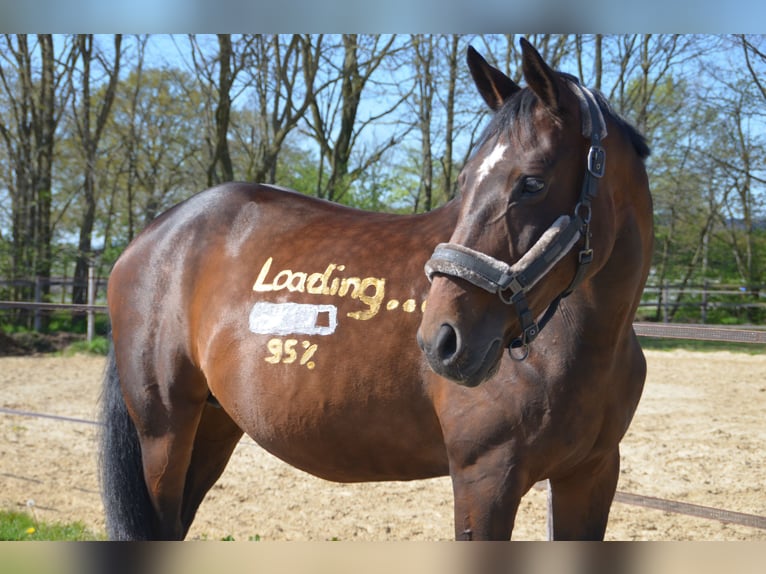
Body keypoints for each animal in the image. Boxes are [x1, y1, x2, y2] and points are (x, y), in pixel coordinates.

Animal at [100, 38, 656, 544]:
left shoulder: (591, 475)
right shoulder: (485, 479)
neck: (580, 342)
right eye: (465, 180)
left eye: (533, 183)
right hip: (164, 433)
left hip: (213, 426)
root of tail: (153, 235)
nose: (442, 341)